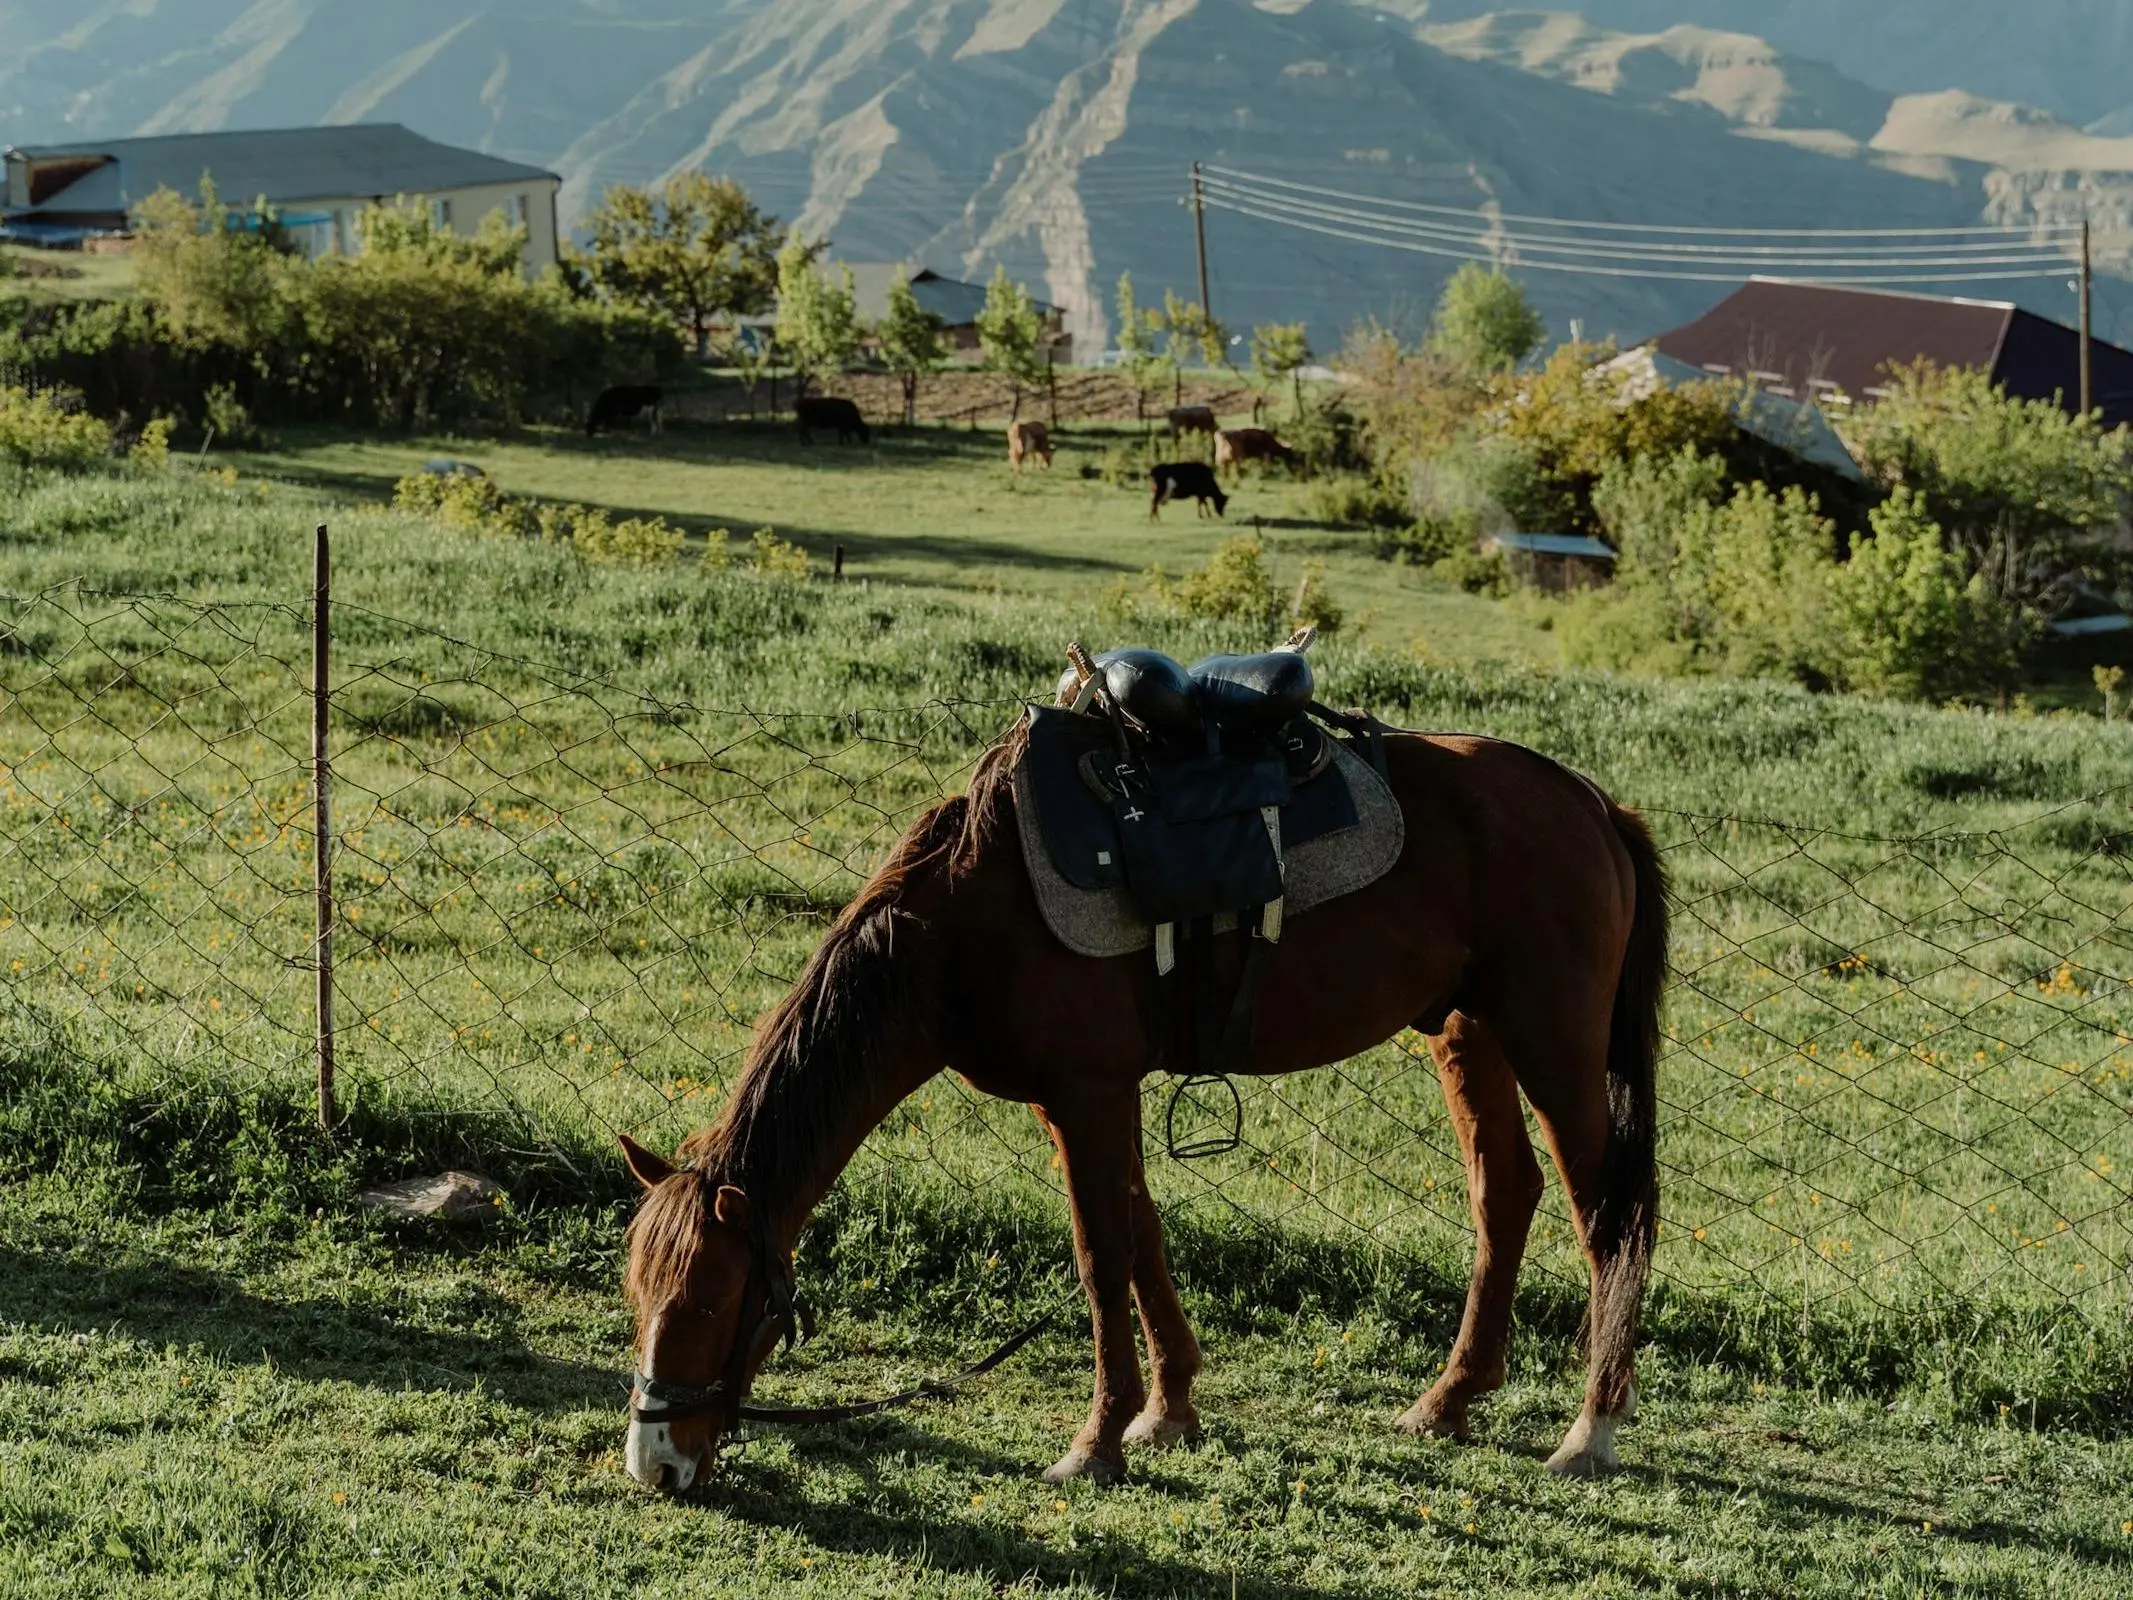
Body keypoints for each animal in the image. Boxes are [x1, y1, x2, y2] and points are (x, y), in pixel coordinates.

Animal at [618, 721, 1663, 1501]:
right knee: (1505, 1194)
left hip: (1554, 1046)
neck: (972, 916)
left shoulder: (1084, 1094)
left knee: (1606, 1214)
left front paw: (1099, 1441)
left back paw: (1590, 1428)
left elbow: (1098, 1252)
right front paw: (1169, 1409)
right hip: (1466, 1032)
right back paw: (1448, 1400)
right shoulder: (1089, 1099)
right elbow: (1142, 1233)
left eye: (709, 1299)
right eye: (637, 1295)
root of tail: (1589, 802)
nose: (655, 1463)